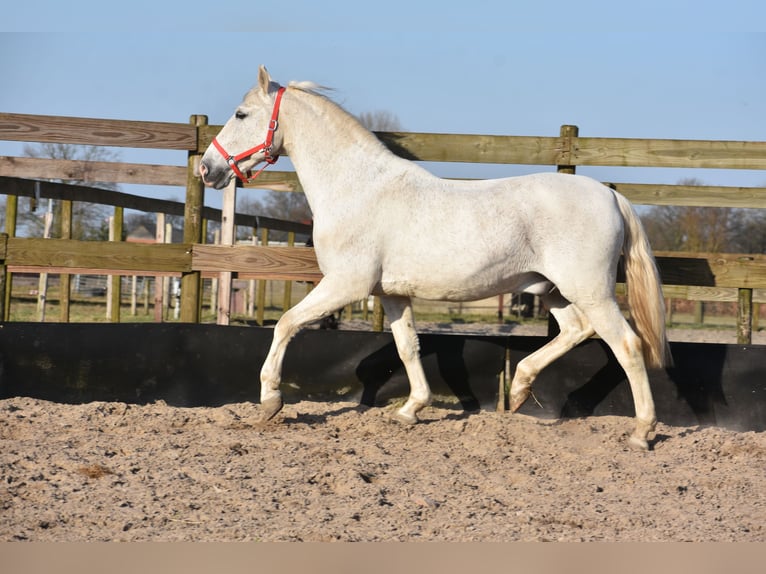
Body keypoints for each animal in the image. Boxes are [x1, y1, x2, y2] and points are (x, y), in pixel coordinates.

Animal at [200, 67, 672, 452]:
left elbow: (286, 324)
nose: (207, 169)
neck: (358, 189)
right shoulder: (390, 294)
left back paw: (641, 432)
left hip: (590, 290)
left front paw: (269, 402)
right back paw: (519, 390)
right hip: (552, 289)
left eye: (241, 114)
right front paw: (411, 410)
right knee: (577, 330)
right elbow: (408, 347)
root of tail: (610, 195)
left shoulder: (345, 284)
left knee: (626, 345)